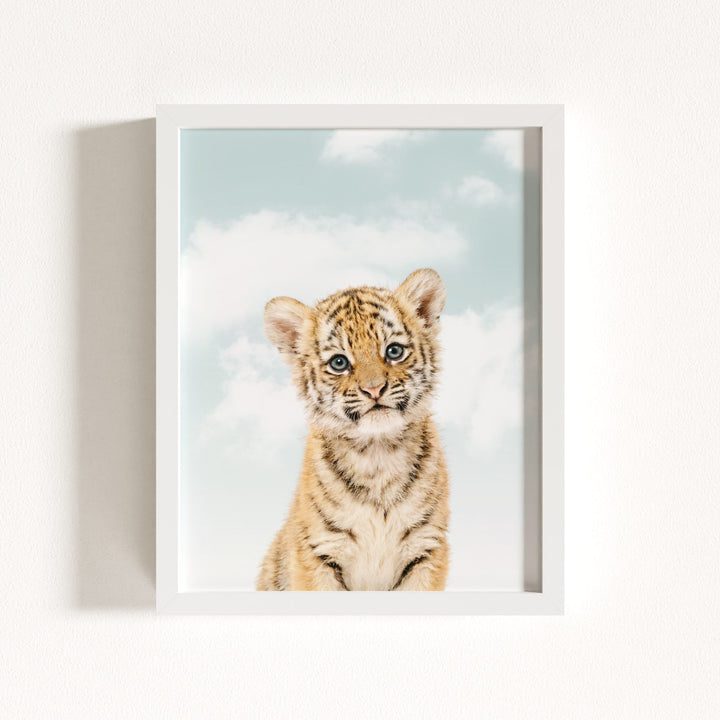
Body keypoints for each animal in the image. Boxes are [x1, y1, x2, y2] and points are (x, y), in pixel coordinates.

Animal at [256, 268, 450, 591]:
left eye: (394, 351)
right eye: (339, 362)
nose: (374, 389)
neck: (378, 453)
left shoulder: (426, 548)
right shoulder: (317, 552)